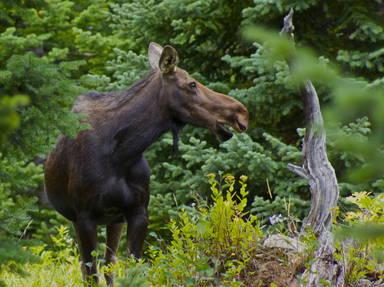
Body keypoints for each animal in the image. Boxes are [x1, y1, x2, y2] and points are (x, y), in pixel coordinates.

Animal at [44, 42, 249, 286]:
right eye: (191, 84)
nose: (241, 111)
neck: (122, 153)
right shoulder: (85, 217)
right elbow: (92, 274)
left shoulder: (138, 212)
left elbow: (134, 269)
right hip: (83, 219)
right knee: (90, 269)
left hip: (114, 219)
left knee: (110, 264)